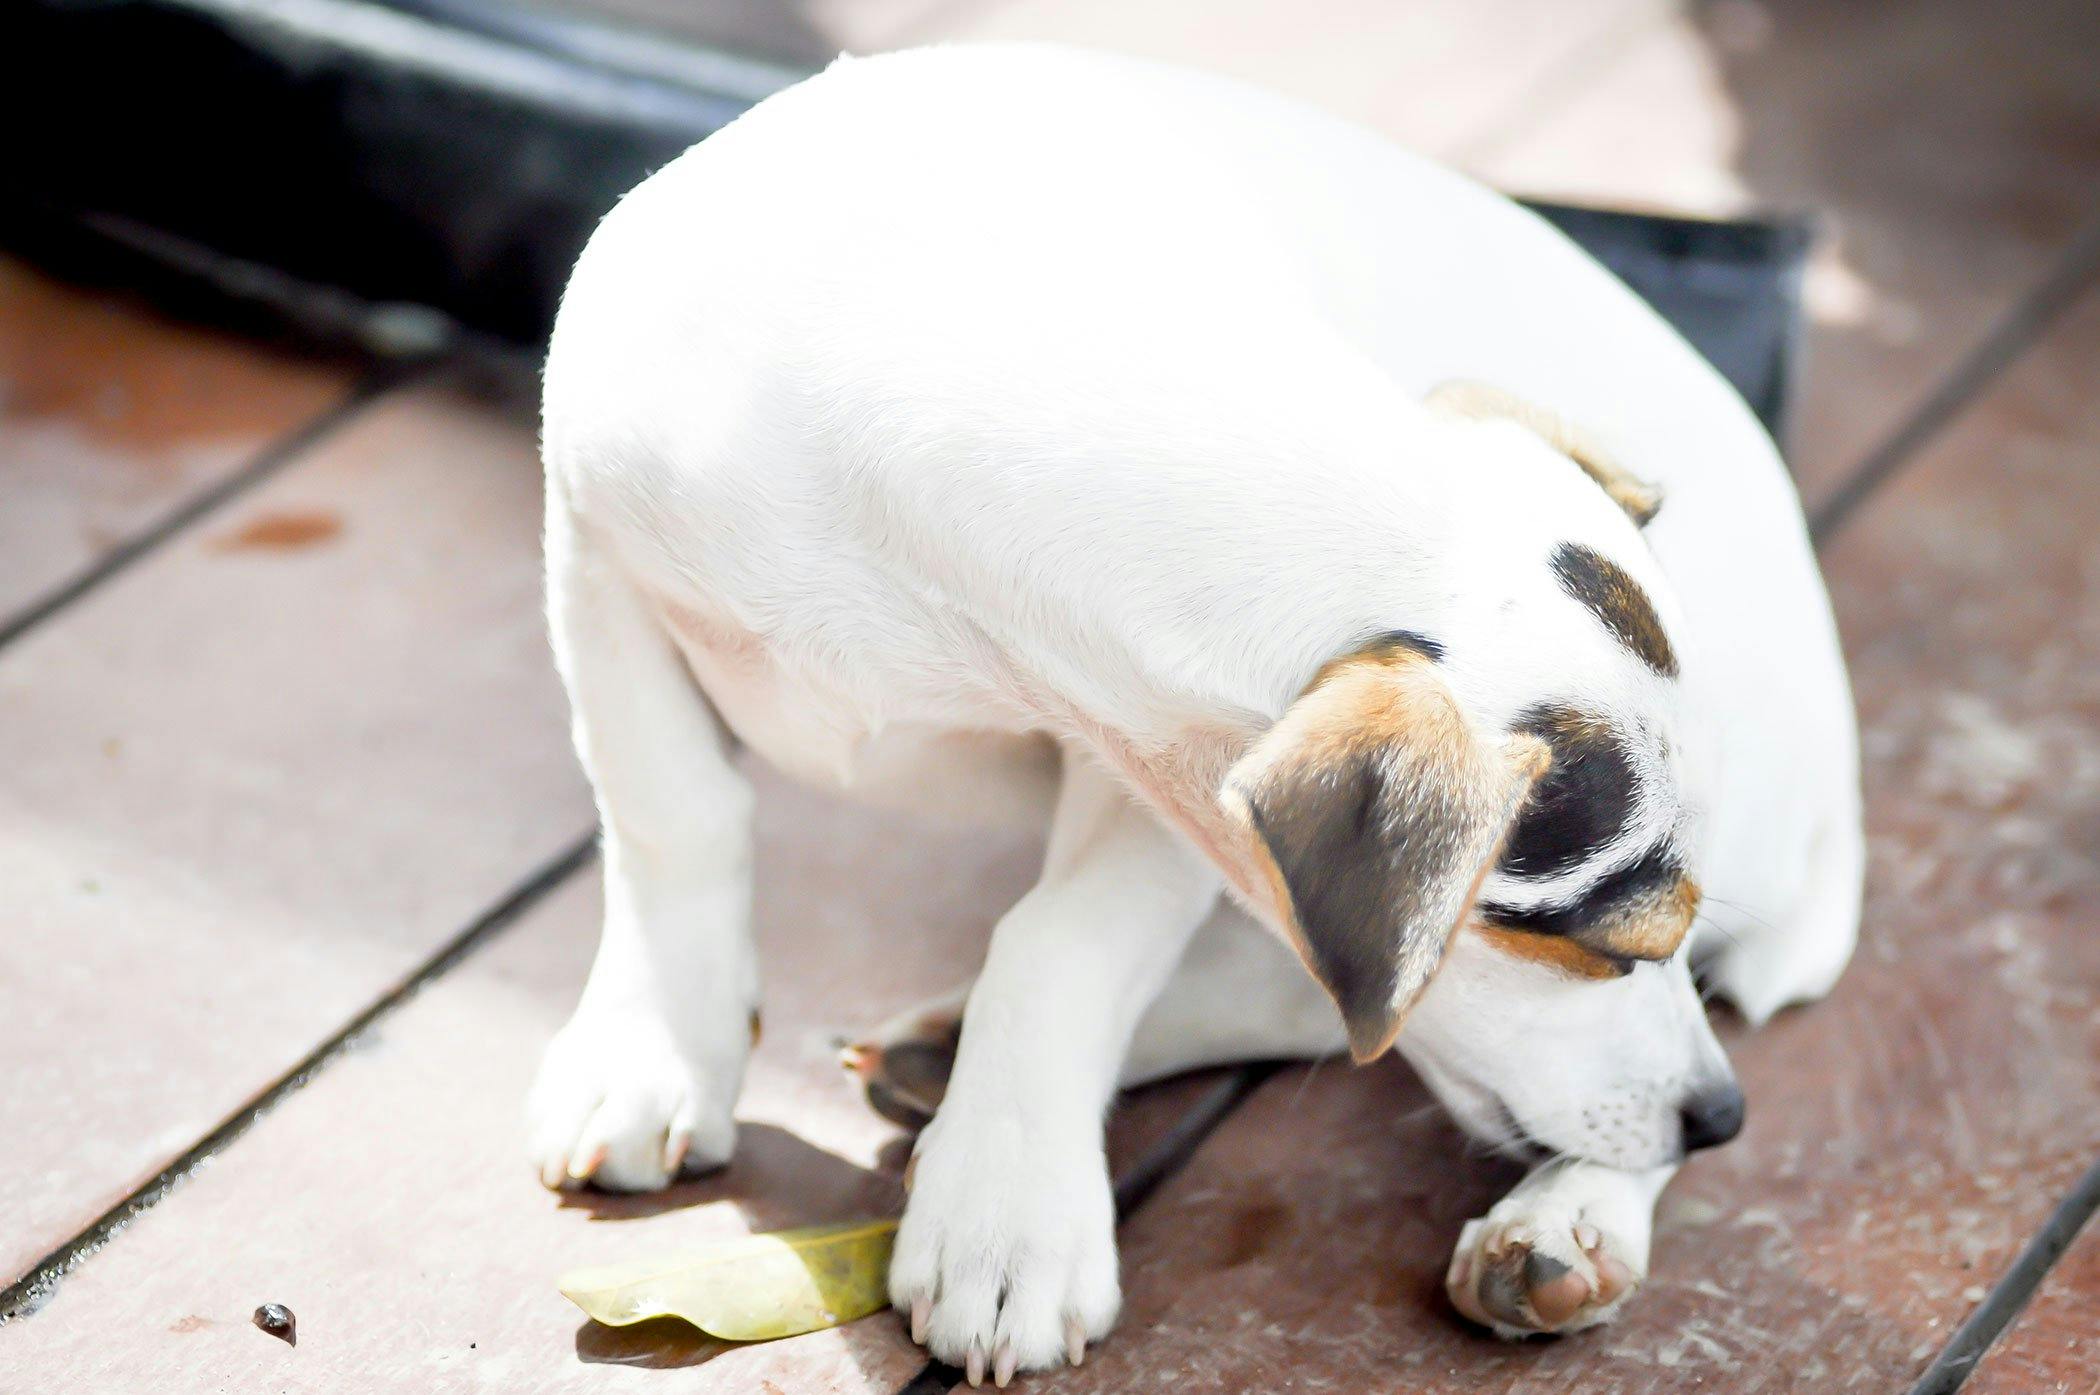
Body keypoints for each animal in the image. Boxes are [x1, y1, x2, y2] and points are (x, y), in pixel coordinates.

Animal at [520, 43, 1856, 1386]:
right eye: (1599, 950)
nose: (1723, 1121)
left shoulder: (1150, 773)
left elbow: (1061, 944)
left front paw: (1006, 1212)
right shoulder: (594, 552)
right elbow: (672, 822)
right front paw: (657, 1056)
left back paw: (1568, 1224)